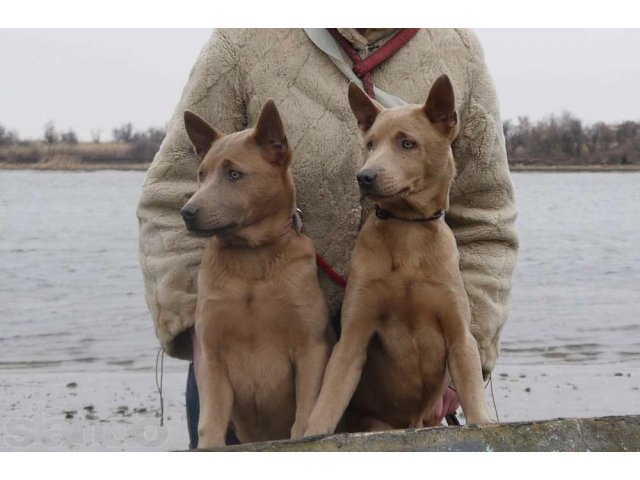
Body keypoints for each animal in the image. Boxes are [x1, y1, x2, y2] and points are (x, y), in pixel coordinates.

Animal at [181, 99, 336, 448]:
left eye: (234, 174)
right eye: (201, 174)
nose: (187, 212)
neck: (251, 262)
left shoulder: (311, 348)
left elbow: (304, 419)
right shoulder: (212, 356)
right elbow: (210, 425)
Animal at [304, 74, 490, 436]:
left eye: (407, 143)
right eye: (370, 144)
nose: (364, 177)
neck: (408, 233)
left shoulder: (460, 338)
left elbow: (474, 397)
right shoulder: (353, 338)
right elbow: (327, 403)